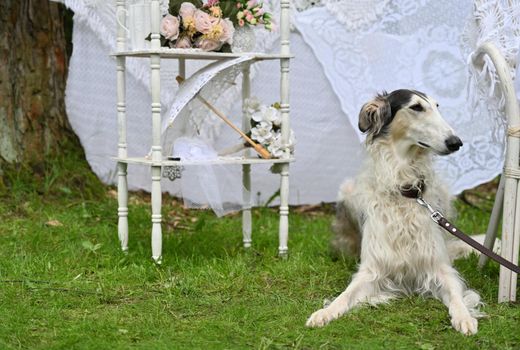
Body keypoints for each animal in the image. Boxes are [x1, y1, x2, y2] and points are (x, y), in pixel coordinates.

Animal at [306, 89, 482, 334]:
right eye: (416, 107)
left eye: (437, 106)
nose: (456, 142)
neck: (406, 191)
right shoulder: (372, 268)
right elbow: (345, 295)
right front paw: (324, 312)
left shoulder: (439, 266)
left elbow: (456, 294)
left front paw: (464, 317)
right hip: (347, 190)